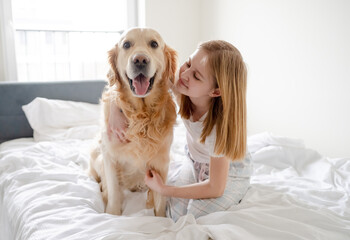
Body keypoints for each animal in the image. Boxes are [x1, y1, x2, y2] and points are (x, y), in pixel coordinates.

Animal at [89, 27, 178, 217]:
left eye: (154, 44)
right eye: (126, 45)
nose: (140, 60)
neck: (140, 115)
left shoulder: (161, 162)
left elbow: (160, 200)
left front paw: (161, 219)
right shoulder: (109, 156)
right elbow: (114, 191)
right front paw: (112, 214)